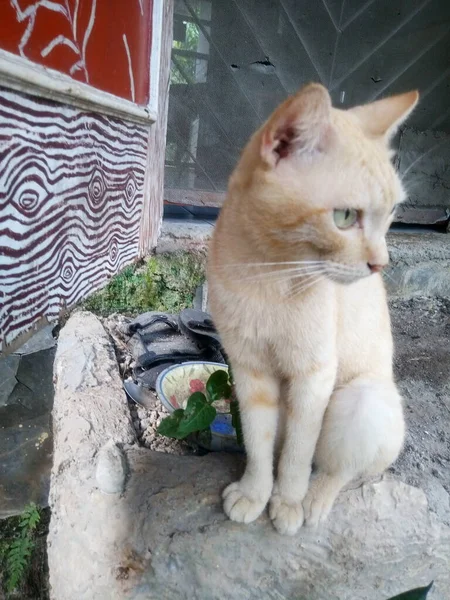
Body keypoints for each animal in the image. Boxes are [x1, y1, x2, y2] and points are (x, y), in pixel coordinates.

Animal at [207, 81, 418, 536]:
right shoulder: (249, 371)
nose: (381, 263)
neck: (266, 275)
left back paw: (313, 501)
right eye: (345, 216)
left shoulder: (314, 374)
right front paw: (254, 493)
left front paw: (287, 503)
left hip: (363, 399)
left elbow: (298, 454)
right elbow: (259, 443)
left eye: (392, 212)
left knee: (338, 470)